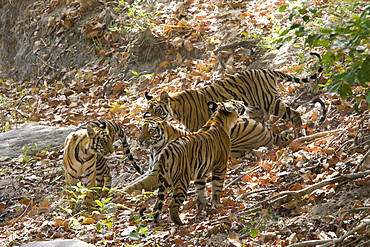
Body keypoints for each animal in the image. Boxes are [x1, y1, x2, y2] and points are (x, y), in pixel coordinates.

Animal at [123, 116, 290, 194]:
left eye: (151, 130)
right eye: (140, 128)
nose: (139, 140)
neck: (154, 149)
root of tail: (269, 131)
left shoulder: (157, 173)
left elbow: (135, 185)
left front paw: (119, 194)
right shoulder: (151, 171)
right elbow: (134, 182)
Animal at [143, 53, 322, 137]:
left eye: (157, 110)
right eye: (148, 112)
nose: (149, 118)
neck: (175, 109)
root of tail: (266, 70)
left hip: (270, 101)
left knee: (294, 113)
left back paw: (299, 132)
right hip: (254, 108)